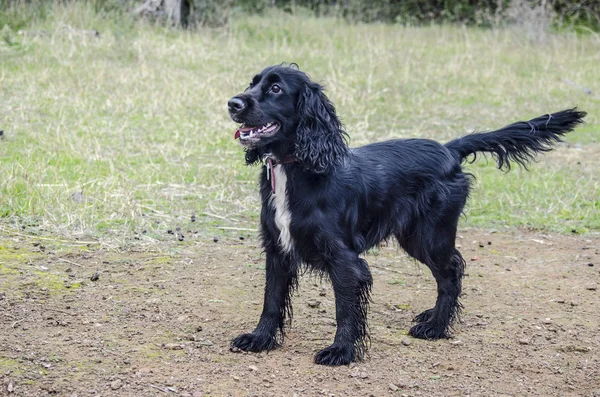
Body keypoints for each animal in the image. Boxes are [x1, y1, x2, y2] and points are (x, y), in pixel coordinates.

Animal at [226, 63, 584, 364]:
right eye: (251, 83)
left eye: (276, 89)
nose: (233, 103)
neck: (297, 167)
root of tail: (449, 149)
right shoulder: (277, 249)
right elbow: (271, 301)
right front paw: (259, 339)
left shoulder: (344, 260)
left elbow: (345, 309)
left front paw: (341, 350)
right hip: (414, 236)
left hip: (430, 235)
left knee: (451, 271)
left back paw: (436, 327)